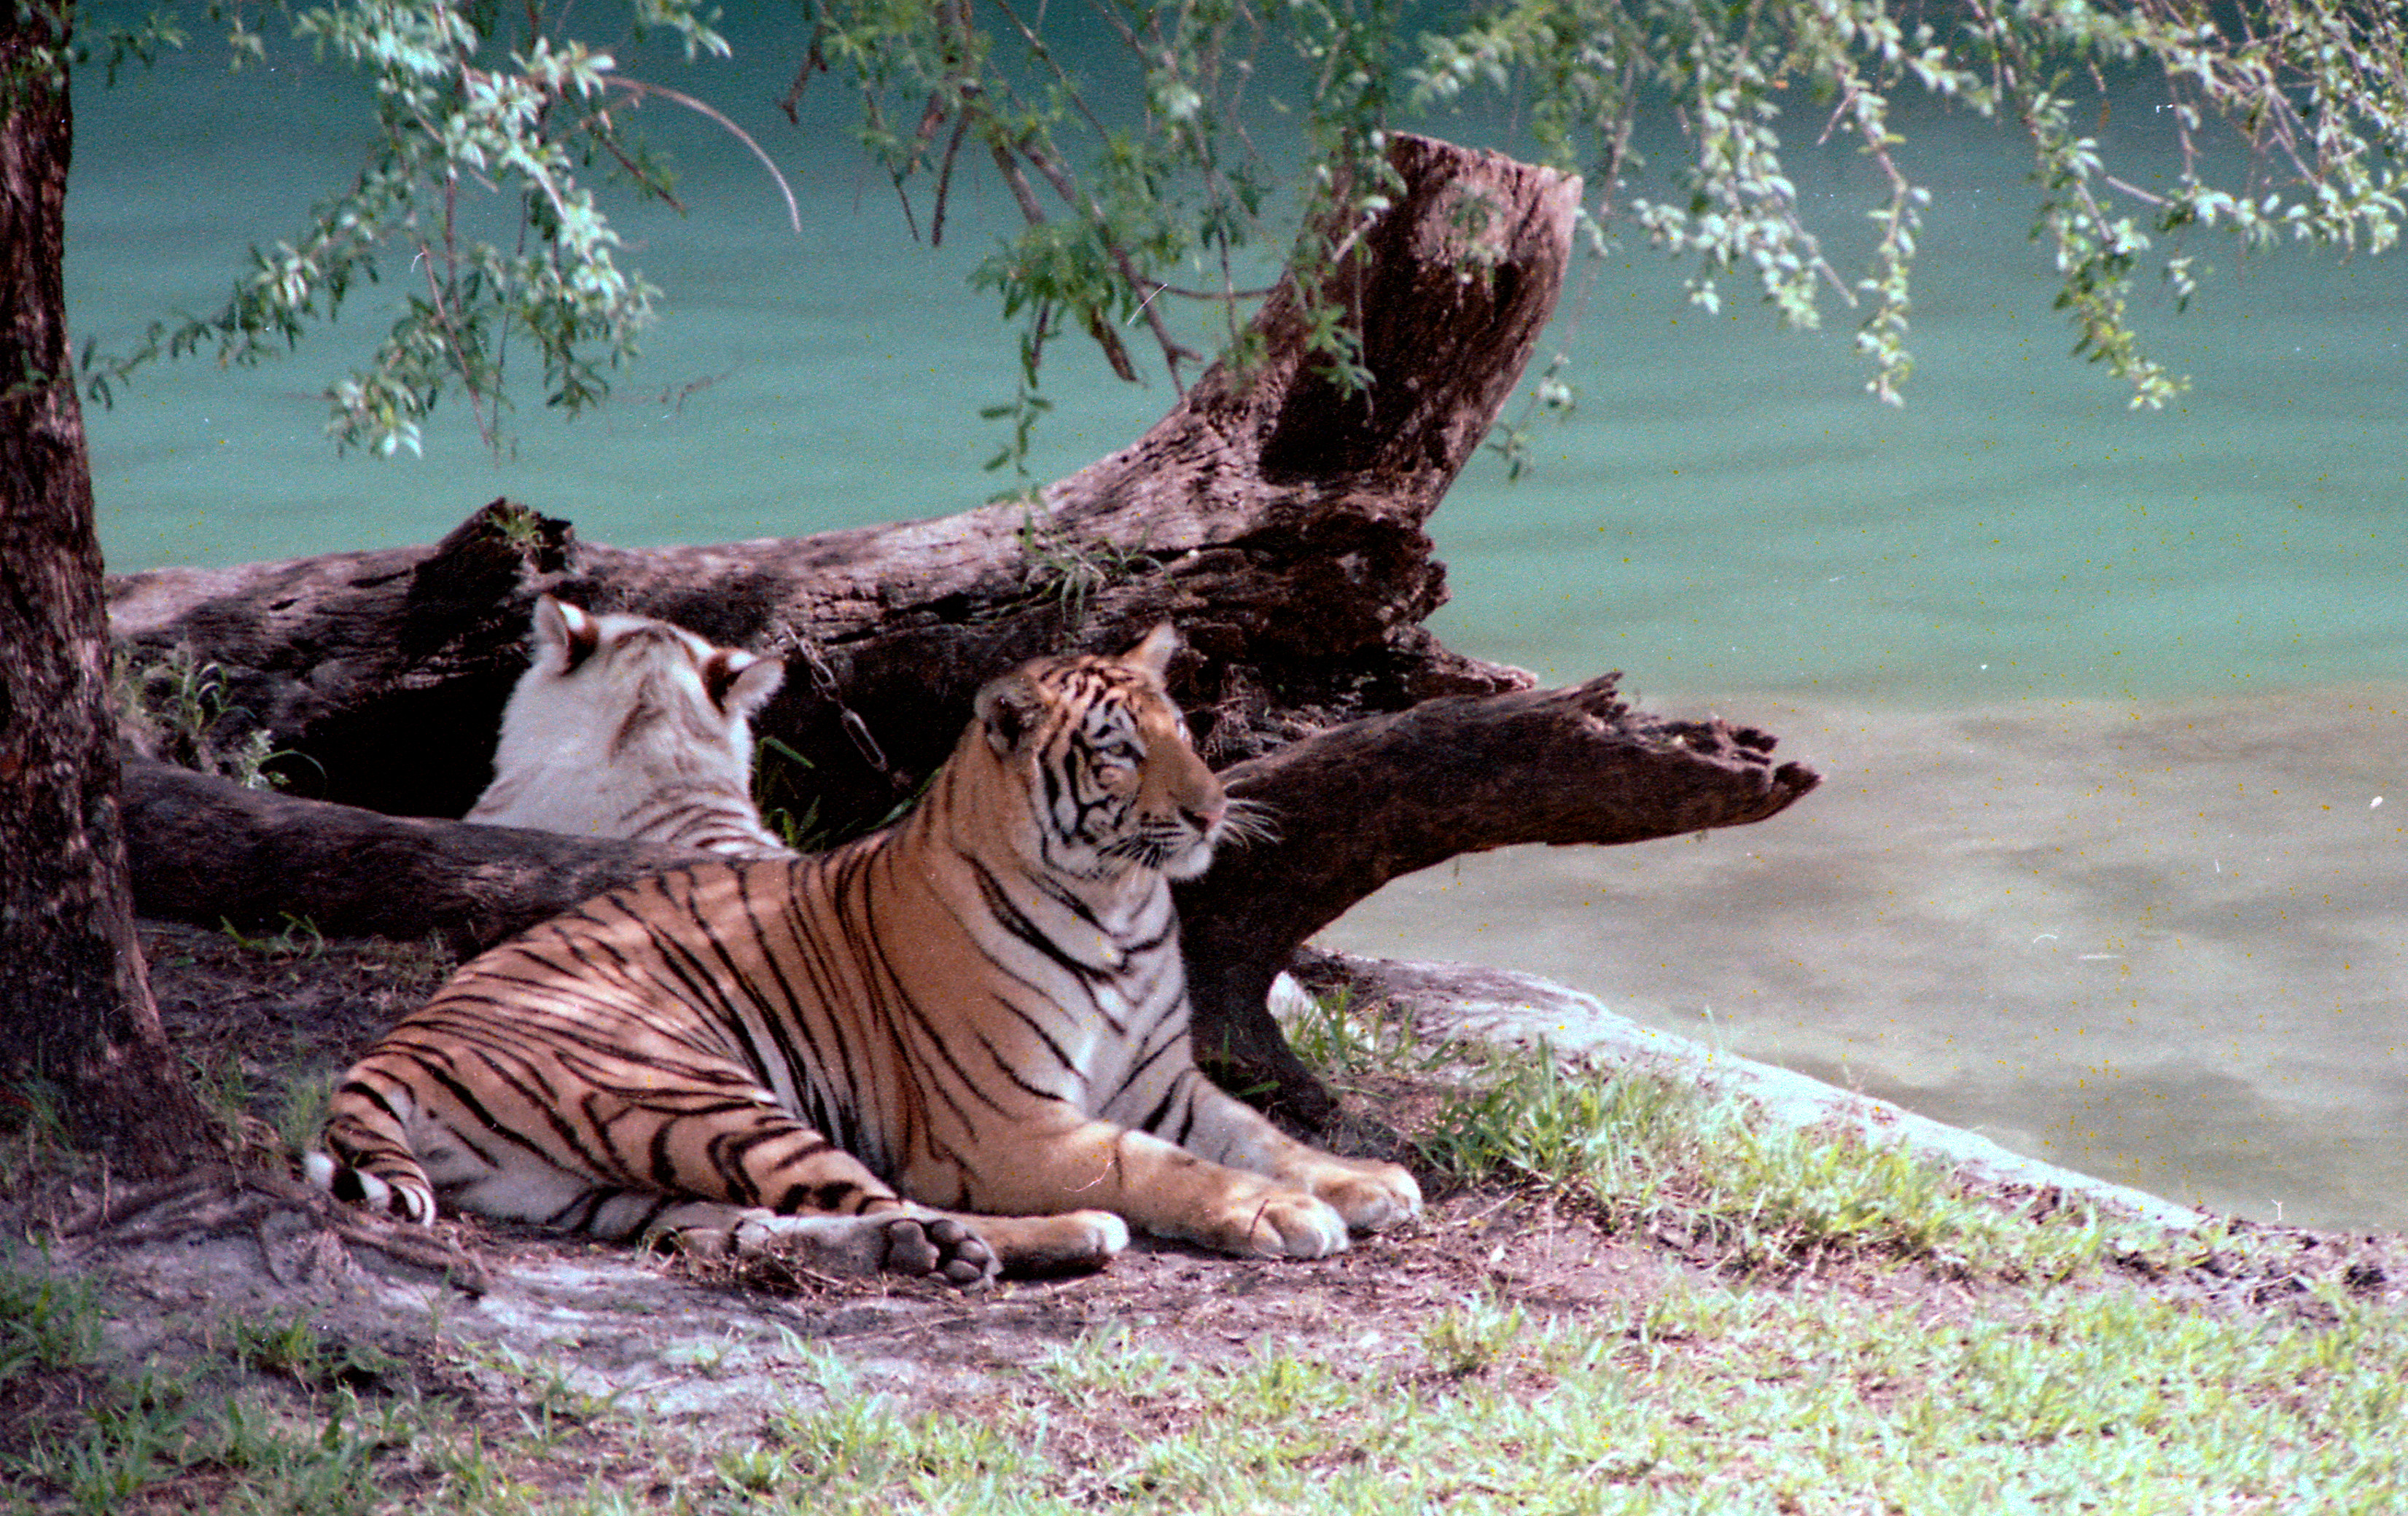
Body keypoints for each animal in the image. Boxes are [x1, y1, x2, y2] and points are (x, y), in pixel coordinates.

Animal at [311, 623, 1422, 1284]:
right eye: (1118, 750)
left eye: (1182, 731)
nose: (1210, 808)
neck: (1120, 907)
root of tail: (396, 1042)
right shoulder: (1006, 1123)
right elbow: (1160, 1165)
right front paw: (1278, 1213)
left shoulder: (1161, 1081)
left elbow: (1257, 1133)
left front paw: (1361, 1179)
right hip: (689, 1088)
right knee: (890, 1197)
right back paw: (1057, 1236)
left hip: (616, 1179)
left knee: (742, 1226)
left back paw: (925, 1246)